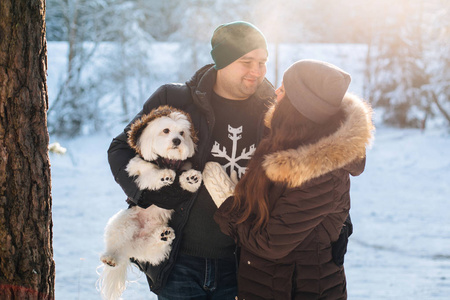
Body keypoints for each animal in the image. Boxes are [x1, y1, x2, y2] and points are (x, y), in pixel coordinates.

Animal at [100, 105, 204, 300]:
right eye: (166, 130)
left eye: (182, 132)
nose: (177, 140)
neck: (168, 161)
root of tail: (131, 247)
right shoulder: (136, 164)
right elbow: (149, 170)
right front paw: (162, 176)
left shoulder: (184, 165)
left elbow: (185, 179)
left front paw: (190, 178)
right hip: (122, 223)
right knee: (116, 245)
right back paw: (111, 258)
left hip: (158, 248)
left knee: (153, 250)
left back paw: (163, 235)